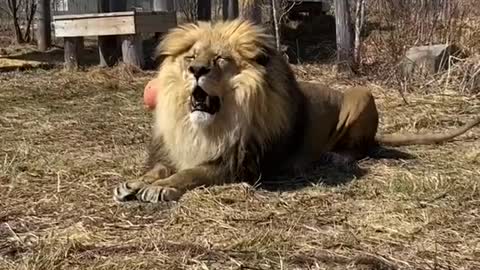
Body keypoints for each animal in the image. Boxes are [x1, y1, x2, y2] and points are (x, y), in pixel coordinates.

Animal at [112, 19, 476, 204]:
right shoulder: (176, 149)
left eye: (220, 59)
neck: (208, 125)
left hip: (362, 94)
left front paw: (161, 188)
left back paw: (337, 156)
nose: (197, 70)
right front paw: (135, 182)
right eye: (191, 57)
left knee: (360, 148)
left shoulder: (241, 164)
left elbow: (192, 173)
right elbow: (160, 168)